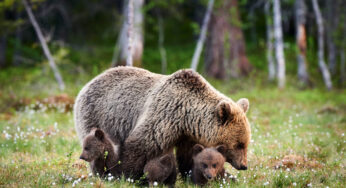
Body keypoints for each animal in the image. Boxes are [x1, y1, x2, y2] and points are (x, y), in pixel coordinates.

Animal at [74, 66, 250, 179]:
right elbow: (140, 145)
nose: (244, 165)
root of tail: (89, 82)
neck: (187, 118)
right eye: (239, 144)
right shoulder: (164, 115)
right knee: (97, 146)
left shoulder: (189, 135)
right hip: (98, 116)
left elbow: (190, 156)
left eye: (246, 143)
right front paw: (127, 175)